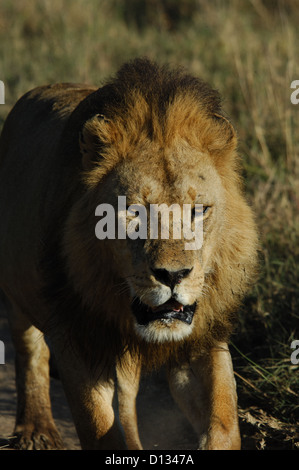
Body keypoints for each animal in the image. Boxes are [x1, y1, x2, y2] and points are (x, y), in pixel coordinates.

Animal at [0, 58, 258, 452]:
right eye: (133, 212)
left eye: (198, 211)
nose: (173, 276)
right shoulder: (76, 337)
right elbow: (100, 428)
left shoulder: (201, 337)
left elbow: (224, 421)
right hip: (18, 295)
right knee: (30, 351)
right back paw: (36, 432)